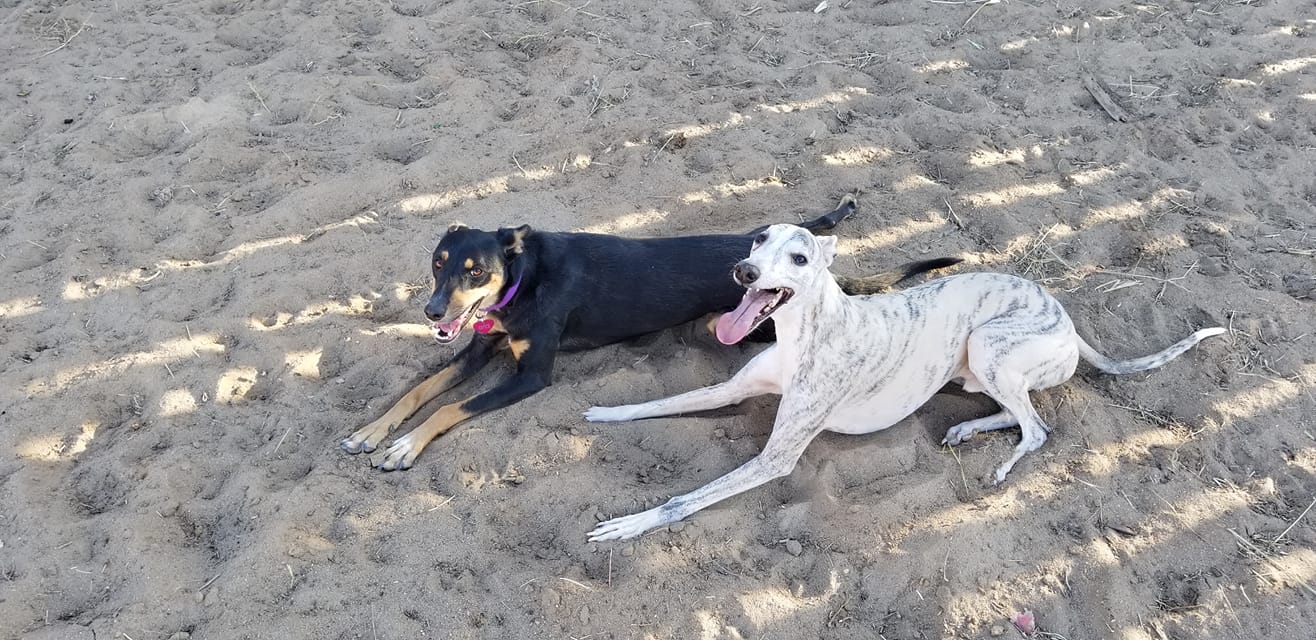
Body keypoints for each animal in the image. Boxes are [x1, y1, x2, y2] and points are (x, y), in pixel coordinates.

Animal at [339, 197, 958, 471]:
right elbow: (419, 391)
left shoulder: (531, 375)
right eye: (438, 263)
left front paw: (403, 447)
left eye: (475, 271)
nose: (432, 311)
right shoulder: (477, 347)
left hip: (743, 328)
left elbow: (449, 407)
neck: (523, 279)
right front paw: (372, 431)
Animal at [586, 223, 1221, 539]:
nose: (744, 272)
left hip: (990, 346)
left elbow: (682, 501)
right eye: (758, 240)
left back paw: (1000, 464)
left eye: (800, 258)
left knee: (1037, 428)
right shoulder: (730, 389)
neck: (804, 330)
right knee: (1013, 411)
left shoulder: (777, 457)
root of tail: (1064, 318)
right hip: (977, 365)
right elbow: (661, 401)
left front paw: (627, 525)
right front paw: (602, 414)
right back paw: (967, 430)